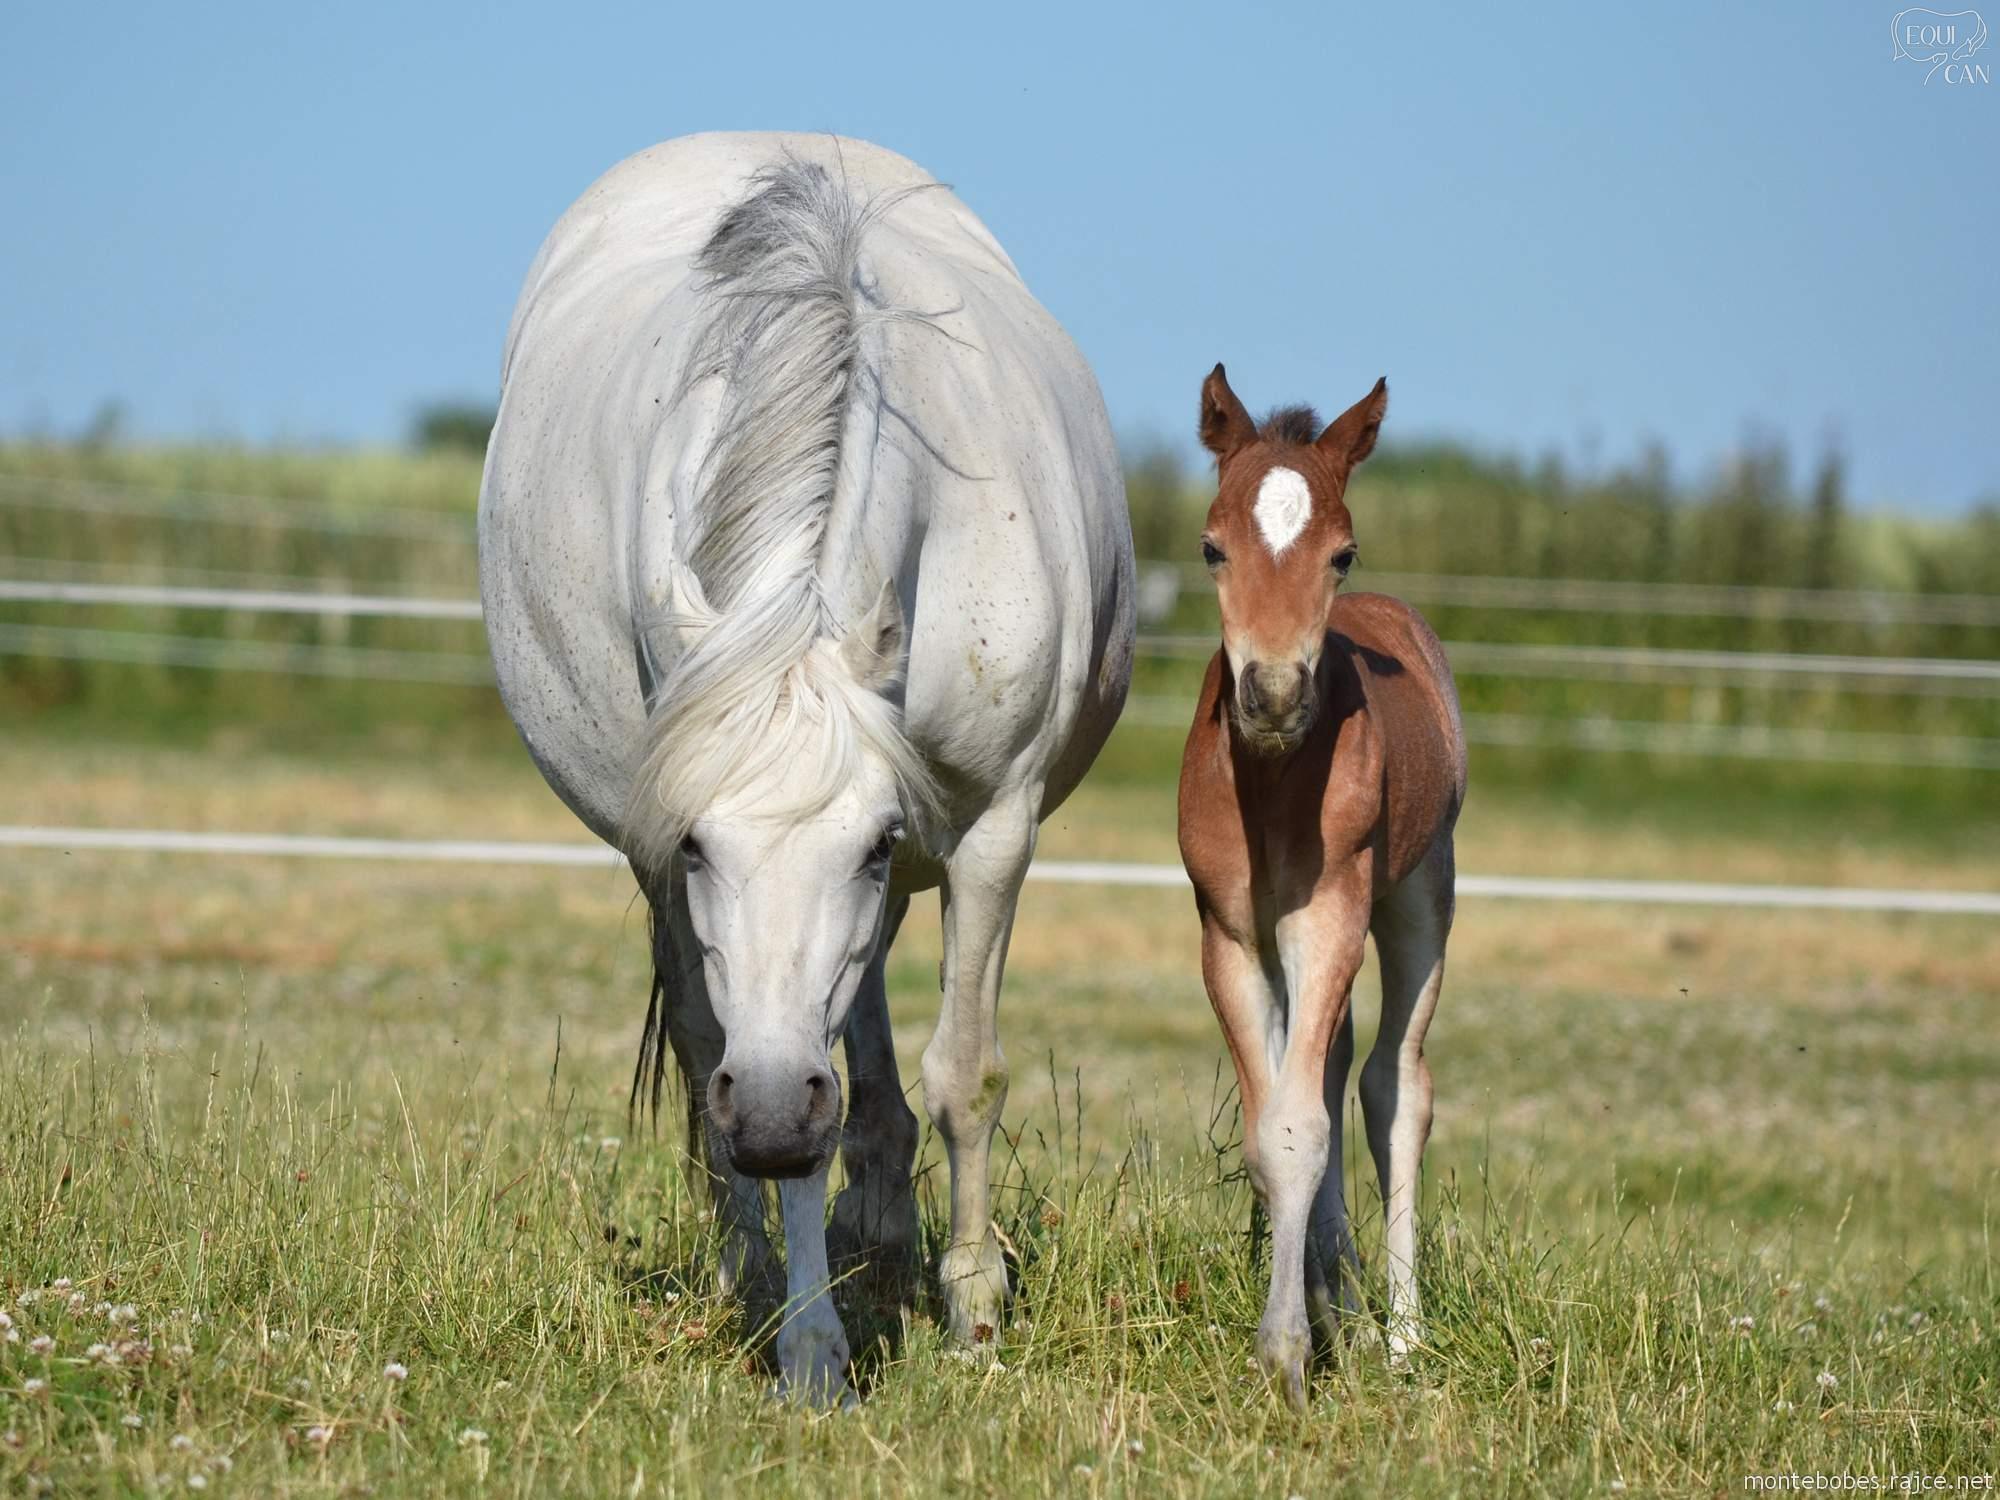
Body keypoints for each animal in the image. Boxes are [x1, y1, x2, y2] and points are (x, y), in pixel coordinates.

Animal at [479, 134, 1135, 1403]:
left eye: (876, 845)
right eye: (697, 844)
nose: (777, 1115)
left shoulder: (993, 828)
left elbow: (963, 1074)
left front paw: (973, 1313)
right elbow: (757, 1074)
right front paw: (811, 1348)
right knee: (715, 1050)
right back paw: (766, 1262)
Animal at [1175, 365, 1466, 1408]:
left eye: (1342, 554)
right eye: (1211, 547)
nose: (1271, 696)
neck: (1271, 783)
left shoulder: (1330, 914)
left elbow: (1302, 1126)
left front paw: (1285, 1354)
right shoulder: (1229, 936)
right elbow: (1275, 1132)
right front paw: (1312, 1320)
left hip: (1422, 895)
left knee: (1392, 1087)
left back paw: (1404, 1338)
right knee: (1337, 1065)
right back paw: (1347, 1305)